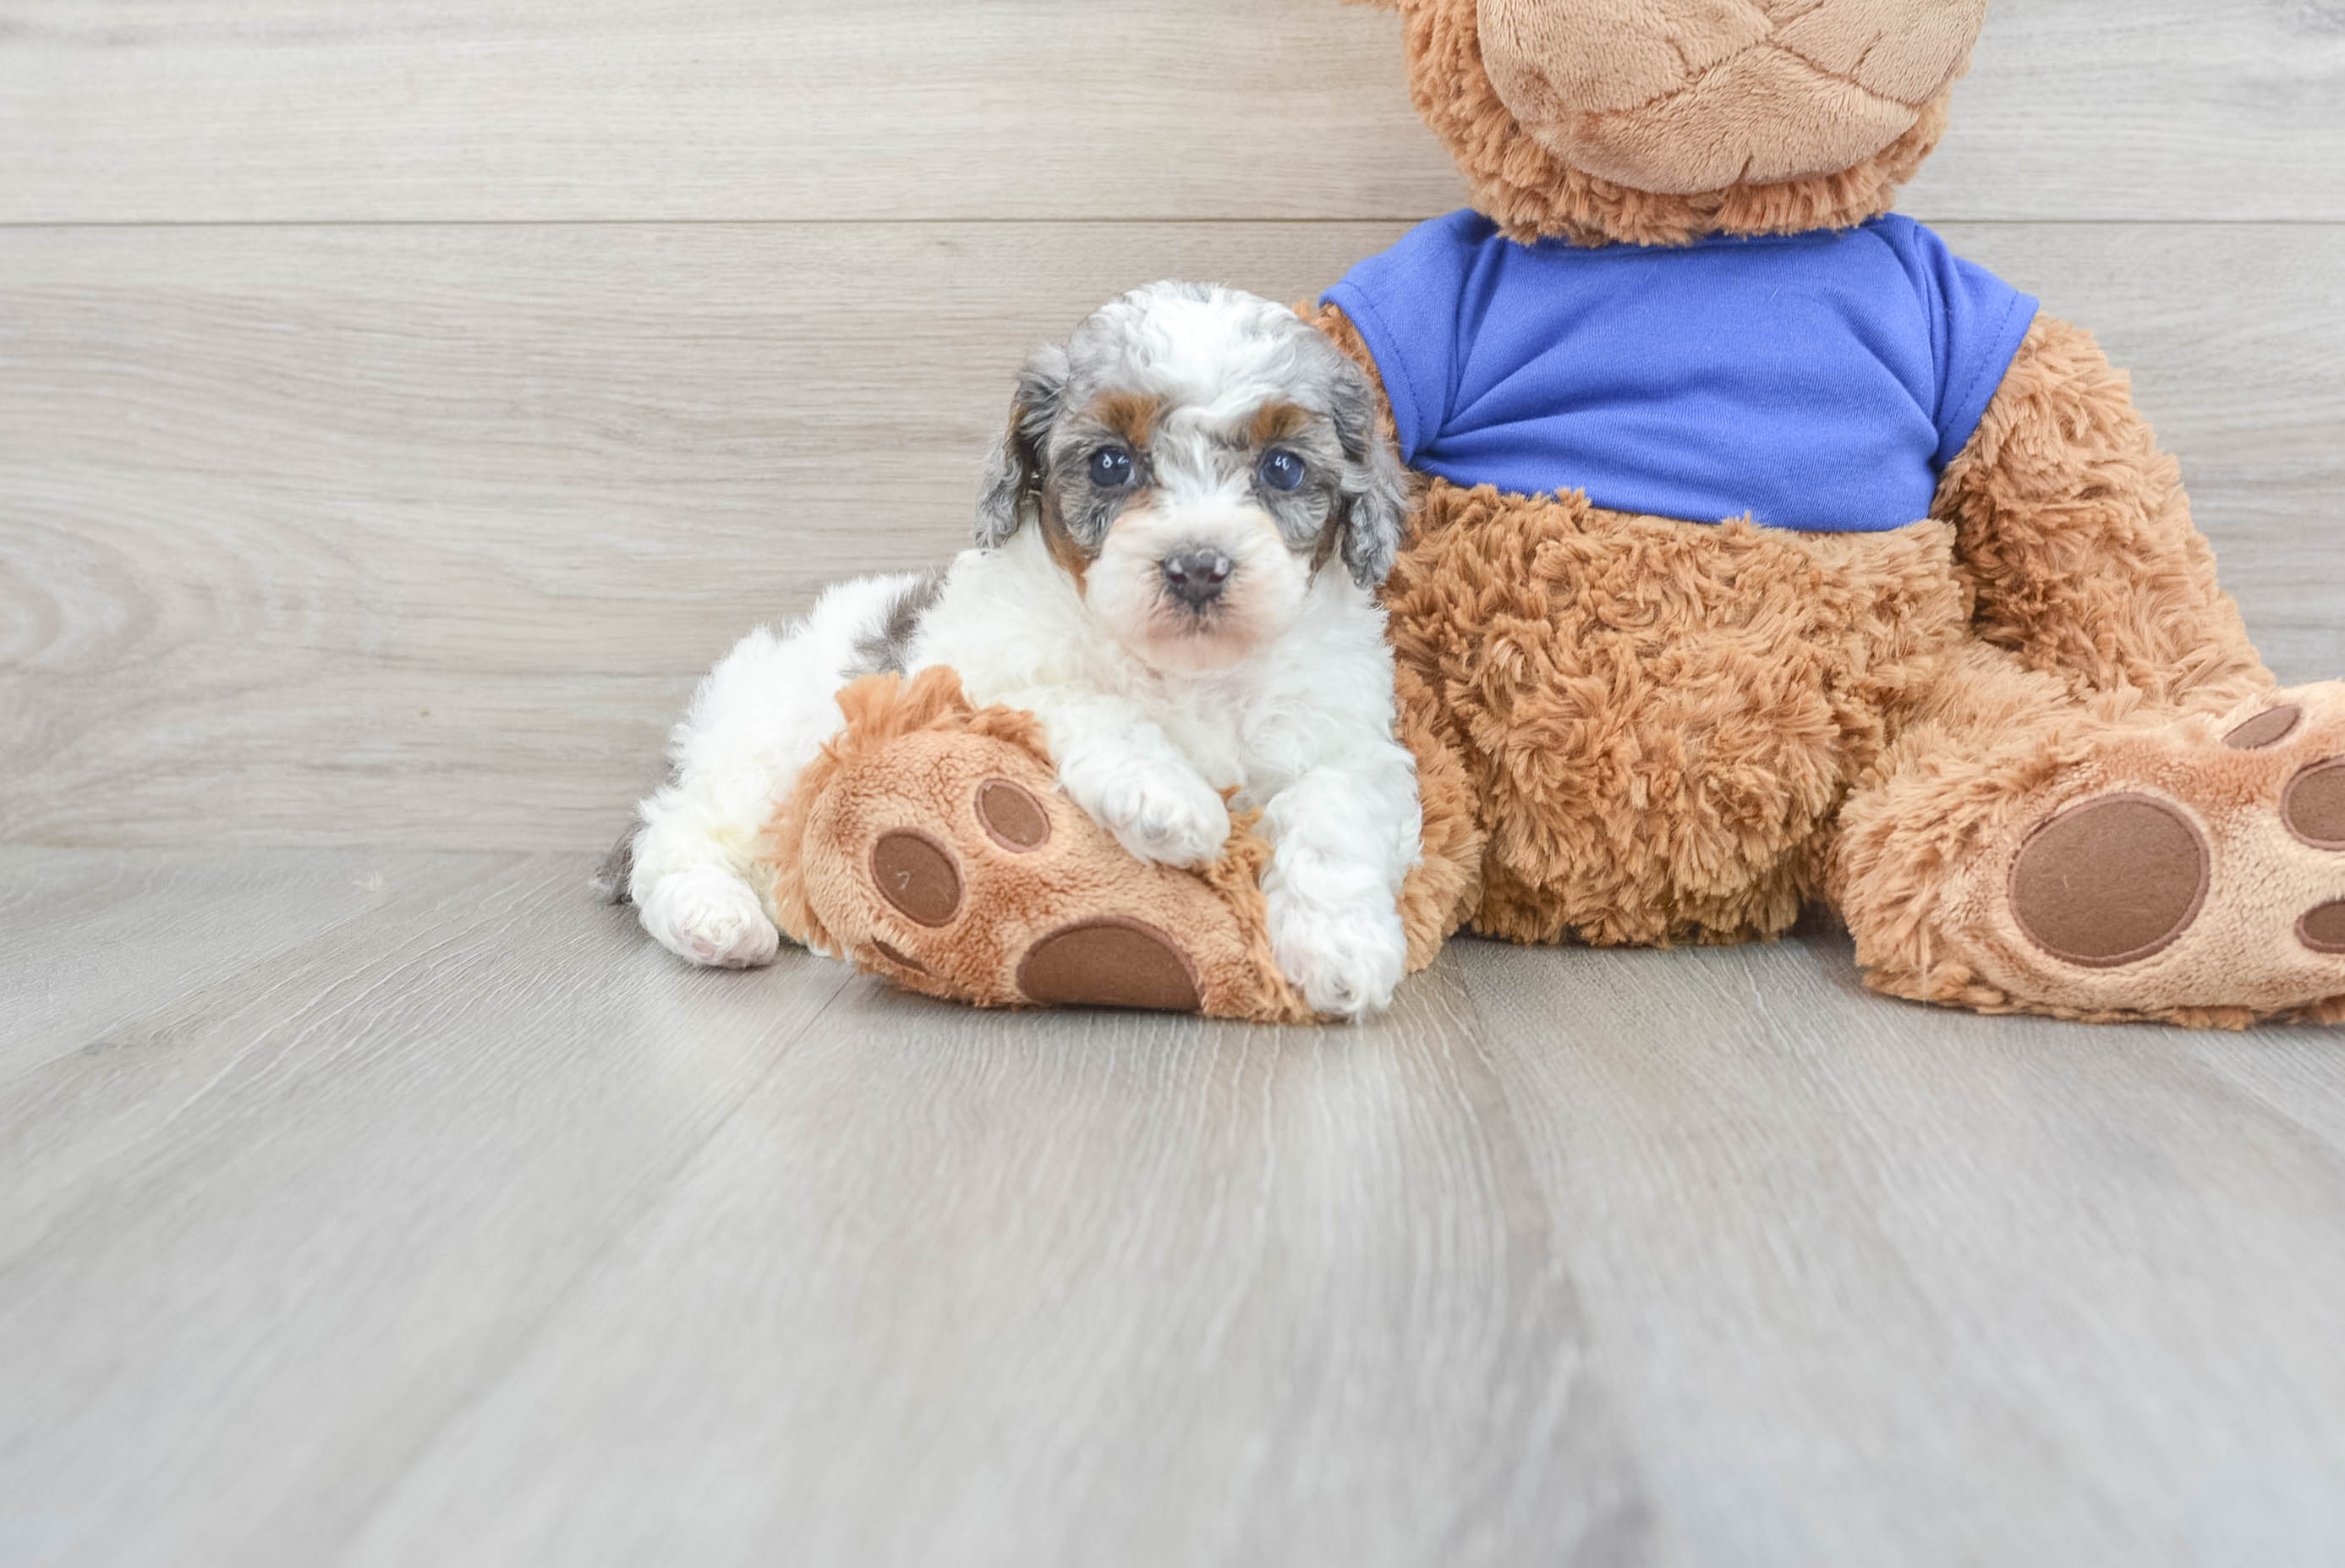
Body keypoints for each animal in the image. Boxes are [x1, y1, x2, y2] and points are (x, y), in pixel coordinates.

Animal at [605, 281, 1416, 1017]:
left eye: (1282, 467)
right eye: (1110, 464)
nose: (1197, 566)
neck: (1189, 672)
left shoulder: (1349, 740)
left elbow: (1331, 807)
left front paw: (1342, 950)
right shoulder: (981, 674)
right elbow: (1084, 701)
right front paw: (1165, 797)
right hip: (757, 759)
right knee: (672, 834)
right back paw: (714, 919)